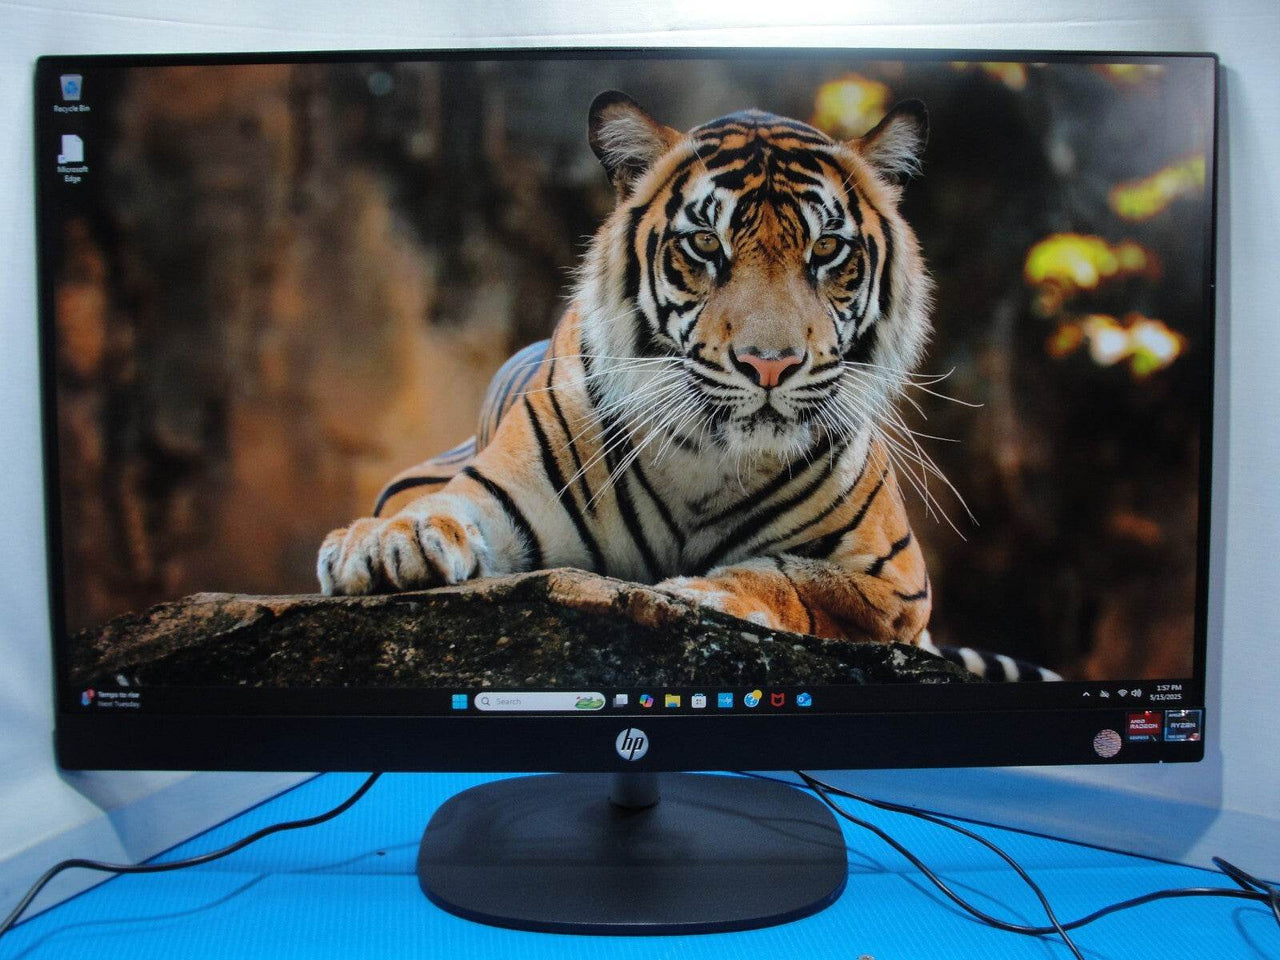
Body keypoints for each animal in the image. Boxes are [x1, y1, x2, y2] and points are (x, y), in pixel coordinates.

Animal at [317, 90, 938, 650]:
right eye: (706, 243)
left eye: (827, 248)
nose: (770, 365)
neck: (709, 460)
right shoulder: (500, 492)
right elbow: (441, 506)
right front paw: (382, 544)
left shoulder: (893, 580)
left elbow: (791, 576)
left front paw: (701, 592)